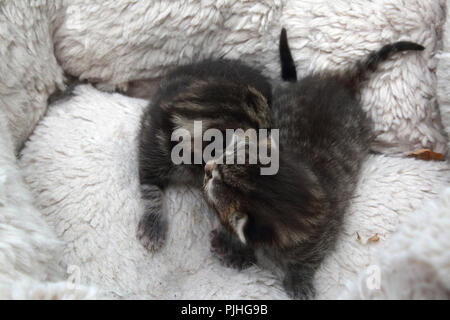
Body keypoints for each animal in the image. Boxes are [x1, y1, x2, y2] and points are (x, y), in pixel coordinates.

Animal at [205, 28, 426, 298]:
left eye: (213, 180)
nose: (207, 166)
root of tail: (339, 84)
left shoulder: (323, 235)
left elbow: (305, 259)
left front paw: (298, 278)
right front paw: (229, 247)